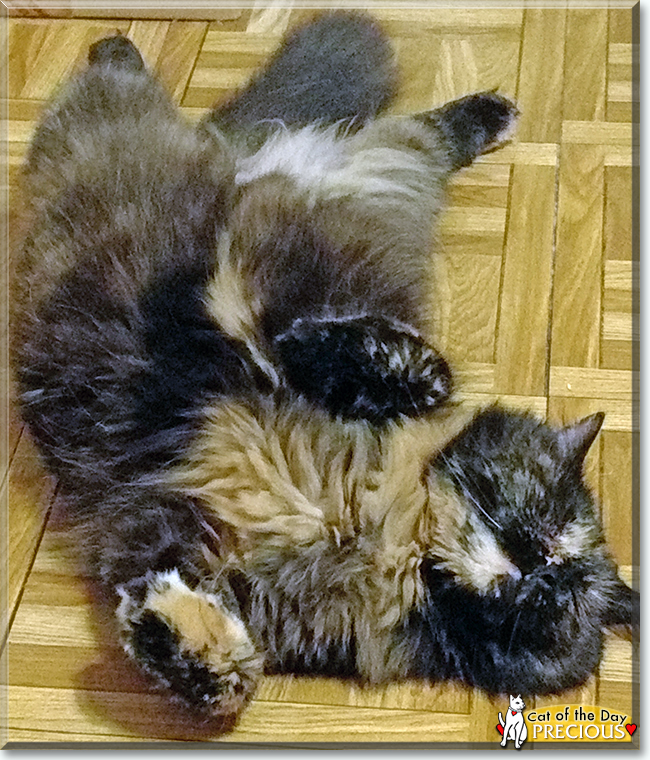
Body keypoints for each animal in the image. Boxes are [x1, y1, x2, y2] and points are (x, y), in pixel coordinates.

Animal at [12, 11, 636, 724]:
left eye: (559, 593)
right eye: (540, 514)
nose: (533, 564)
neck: (376, 533)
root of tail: (247, 151)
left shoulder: (181, 544)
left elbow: (224, 673)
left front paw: (178, 632)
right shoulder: (267, 365)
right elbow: (386, 365)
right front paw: (359, 355)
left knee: (407, 132)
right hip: (115, 133)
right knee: (120, 77)